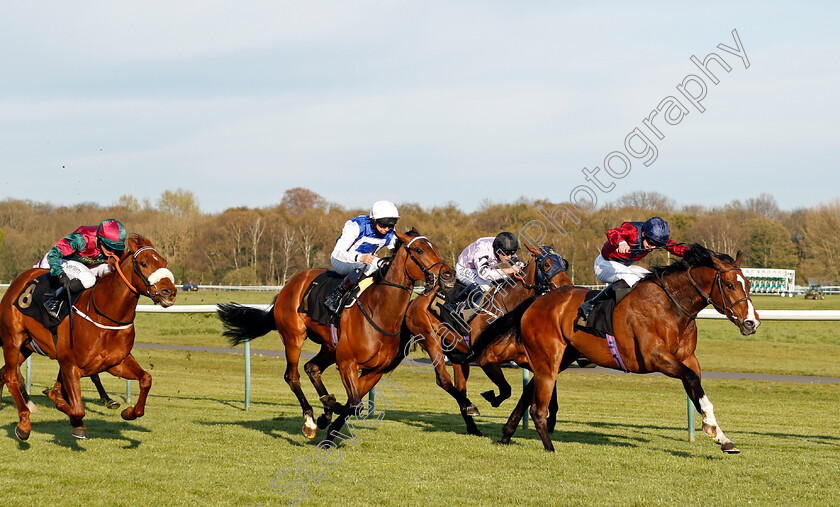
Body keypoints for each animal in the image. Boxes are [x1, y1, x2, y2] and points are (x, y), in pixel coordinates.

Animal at [0, 235, 177, 440]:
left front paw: (129, 411)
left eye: (164, 262)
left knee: (4, 373)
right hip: (12, 340)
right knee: (11, 377)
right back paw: (24, 424)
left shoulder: (116, 363)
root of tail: (20, 280)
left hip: (26, 347)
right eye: (144, 263)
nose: (169, 292)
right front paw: (70, 415)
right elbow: (75, 407)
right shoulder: (70, 364)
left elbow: (146, 379)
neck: (104, 314)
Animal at [217, 230, 452, 440]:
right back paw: (310, 420)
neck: (379, 312)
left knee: (312, 368)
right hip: (294, 337)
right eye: (419, 250)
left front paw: (330, 426)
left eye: (436, 247)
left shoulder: (375, 370)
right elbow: (354, 405)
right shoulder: (347, 363)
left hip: (330, 346)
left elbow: (354, 403)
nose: (448, 274)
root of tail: (289, 284)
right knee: (292, 376)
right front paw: (328, 411)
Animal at [400, 244, 572, 434]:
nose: (567, 287)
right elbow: (506, 389)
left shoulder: (529, 358)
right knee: (443, 380)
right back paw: (470, 408)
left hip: (456, 355)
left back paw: (472, 425)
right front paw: (492, 398)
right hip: (432, 343)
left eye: (564, 263)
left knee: (460, 387)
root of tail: (415, 301)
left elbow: (548, 384)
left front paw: (551, 419)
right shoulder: (485, 358)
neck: (507, 303)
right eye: (547, 264)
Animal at [472, 245, 760, 452]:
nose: (752, 322)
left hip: (560, 358)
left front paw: (722, 437)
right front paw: (711, 429)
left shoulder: (687, 358)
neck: (671, 305)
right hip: (548, 357)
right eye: (730, 285)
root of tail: (535, 300)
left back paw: (506, 435)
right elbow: (691, 380)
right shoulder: (656, 357)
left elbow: (697, 390)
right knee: (529, 398)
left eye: (748, 283)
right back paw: (548, 446)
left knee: (526, 393)